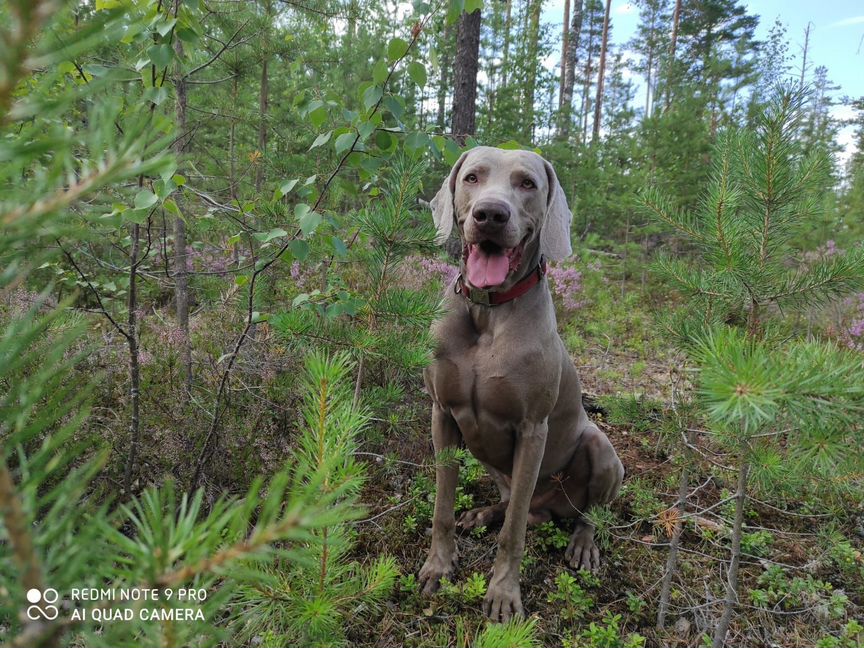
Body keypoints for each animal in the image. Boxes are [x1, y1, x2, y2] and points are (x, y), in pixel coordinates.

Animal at [416, 147, 620, 624]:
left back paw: (582, 544)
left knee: (578, 513)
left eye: (528, 183)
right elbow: (442, 506)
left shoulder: (532, 429)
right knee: (516, 504)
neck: (488, 311)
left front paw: (504, 594)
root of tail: (553, 507)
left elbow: (513, 533)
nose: (490, 214)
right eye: (472, 178)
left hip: (601, 450)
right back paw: (483, 513)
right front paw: (438, 565)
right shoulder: (442, 414)